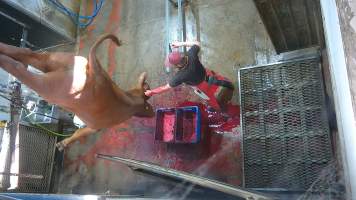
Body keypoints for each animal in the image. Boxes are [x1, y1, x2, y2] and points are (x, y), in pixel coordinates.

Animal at [0, 33, 154, 151]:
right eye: (149, 106)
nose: (152, 114)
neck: (132, 99)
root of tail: (96, 73)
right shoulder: (93, 128)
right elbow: (78, 133)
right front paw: (63, 144)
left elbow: (77, 131)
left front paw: (62, 144)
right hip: (49, 87)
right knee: (17, 67)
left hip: (49, 61)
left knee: (24, 52)